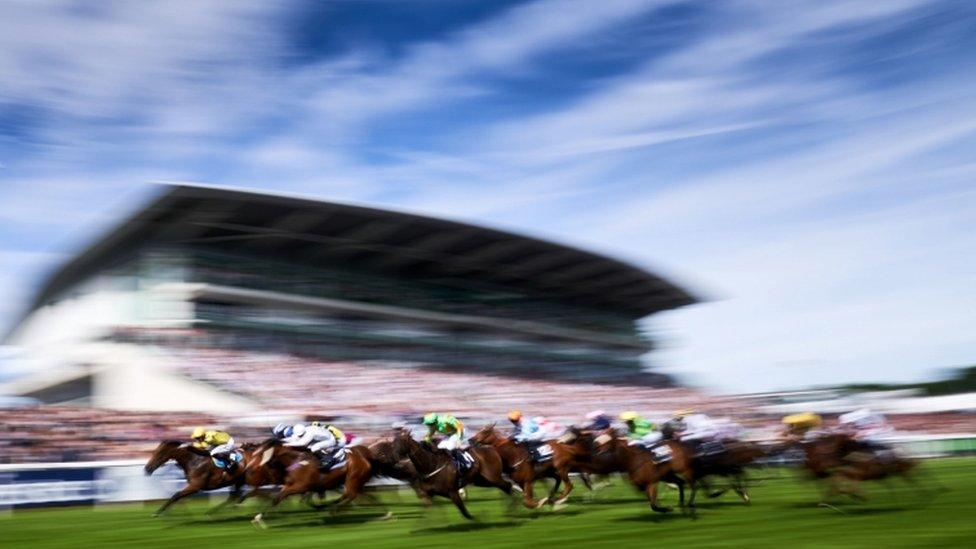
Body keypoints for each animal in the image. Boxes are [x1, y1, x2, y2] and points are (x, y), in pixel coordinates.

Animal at [246, 436, 384, 528]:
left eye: (260, 454)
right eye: (254, 453)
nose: (248, 468)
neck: (296, 459)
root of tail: (366, 458)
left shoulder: (301, 486)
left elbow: (278, 498)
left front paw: (259, 519)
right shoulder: (289, 485)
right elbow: (276, 498)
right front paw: (258, 518)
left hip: (353, 478)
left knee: (351, 494)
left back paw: (334, 510)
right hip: (349, 480)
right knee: (349, 495)